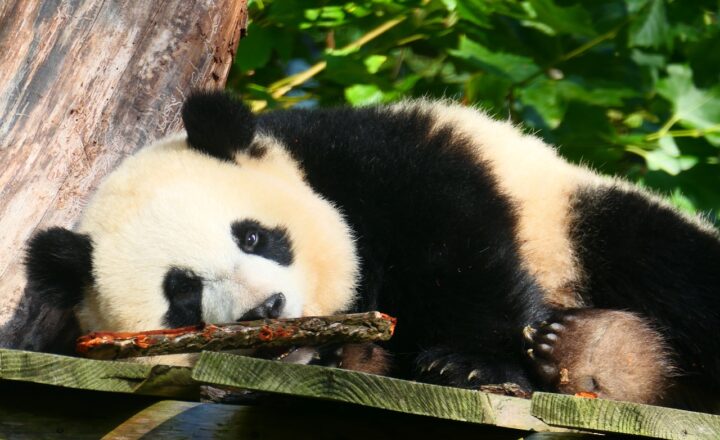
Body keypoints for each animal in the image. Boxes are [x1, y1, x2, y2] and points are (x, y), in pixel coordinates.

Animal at [24, 91, 720, 408]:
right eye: (184, 294)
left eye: (254, 236)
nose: (266, 311)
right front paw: (339, 355)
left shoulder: (380, 159)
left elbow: (456, 243)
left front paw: (472, 366)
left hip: (576, 216)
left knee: (664, 262)